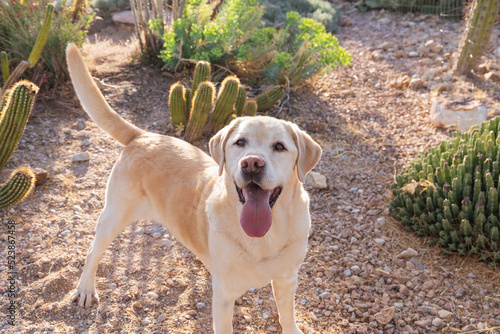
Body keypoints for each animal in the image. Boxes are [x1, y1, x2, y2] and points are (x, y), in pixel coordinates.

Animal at [65, 43, 320, 332]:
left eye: (279, 146)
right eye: (240, 142)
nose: (252, 164)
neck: (264, 238)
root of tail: (142, 135)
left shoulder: (287, 280)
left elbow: (287, 315)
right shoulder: (223, 299)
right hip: (114, 216)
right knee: (92, 252)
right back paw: (86, 288)